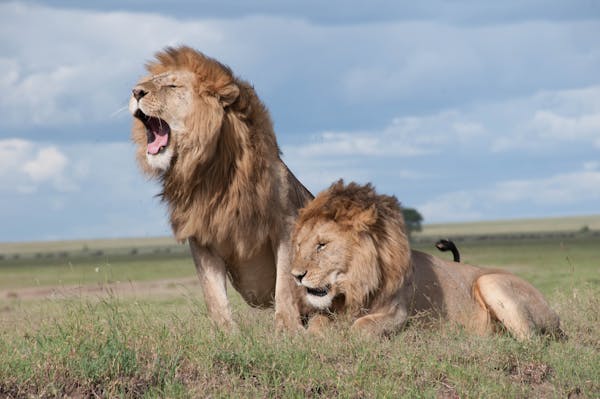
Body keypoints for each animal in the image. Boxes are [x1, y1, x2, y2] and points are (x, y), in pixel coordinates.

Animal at [129, 46, 312, 332]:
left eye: (172, 85)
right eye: (149, 83)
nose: (136, 92)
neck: (211, 173)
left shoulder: (286, 225)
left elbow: (285, 284)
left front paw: (287, 330)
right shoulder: (201, 236)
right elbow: (212, 292)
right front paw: (226, 333)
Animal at [290, 181, 564, 340]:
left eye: (322, 245)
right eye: (300, 245)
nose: (296, 276)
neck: (354, 286)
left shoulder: (398, 313)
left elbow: (361, 328)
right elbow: (317, 324)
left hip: (491, 282)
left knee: (531, 341)